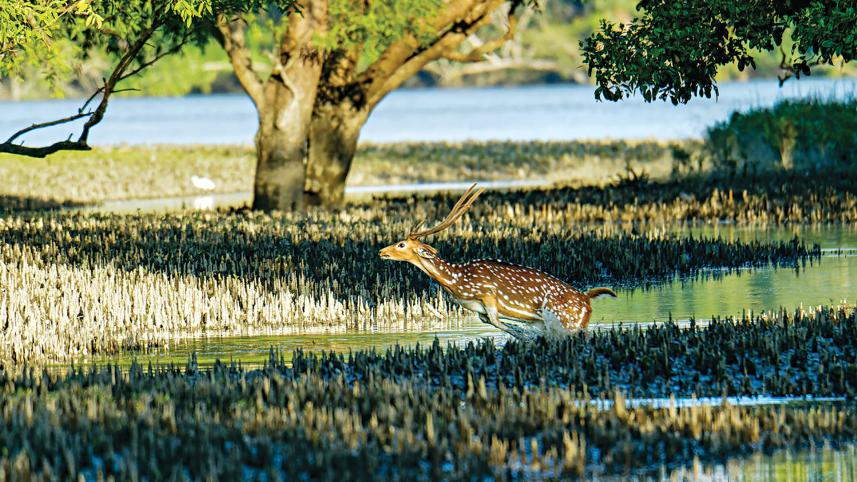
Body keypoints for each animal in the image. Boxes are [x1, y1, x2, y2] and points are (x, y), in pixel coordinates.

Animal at [379, 183, 617, 339]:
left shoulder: (489, 296)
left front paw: (526, 337)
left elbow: (497, 322)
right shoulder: (478, 308)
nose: (381, 251)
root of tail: (587, 299)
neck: (457, 282)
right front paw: (527, 335)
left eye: (401, 244)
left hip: (566, 320)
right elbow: (491, 321)